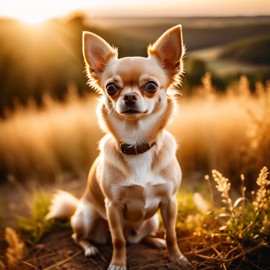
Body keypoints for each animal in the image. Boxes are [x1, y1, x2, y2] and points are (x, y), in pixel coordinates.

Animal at [47, 25, 192, 270]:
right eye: (111, 87)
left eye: (151, 86)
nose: (130, 96)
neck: (137, 143)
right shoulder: (113, 206)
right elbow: (118, 239)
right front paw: (117, 263)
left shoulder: (170, 202)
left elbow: (172, 234)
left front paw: (177, 257)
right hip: (86, 217)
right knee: (81, 237)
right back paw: (90, 248)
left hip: (152, 220)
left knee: (140, 237)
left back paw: (155, 241)